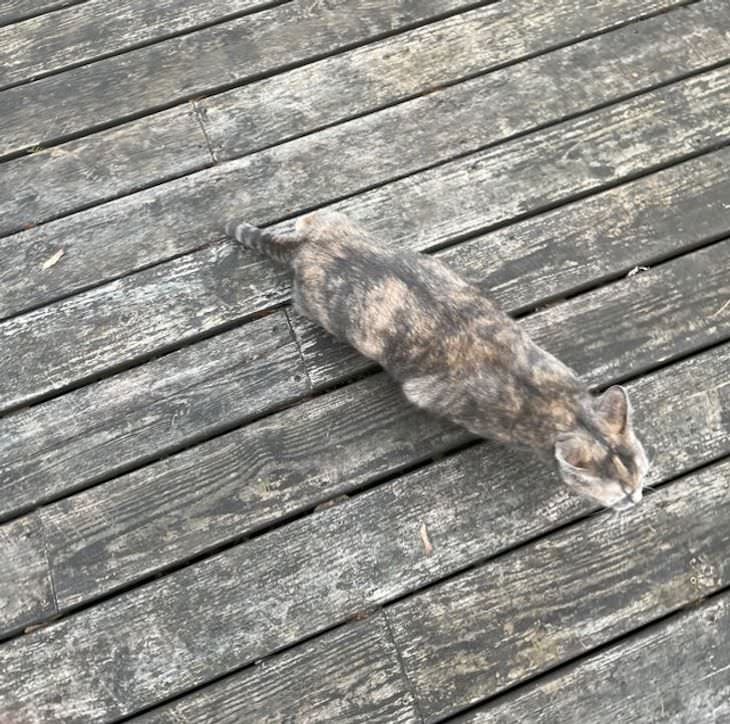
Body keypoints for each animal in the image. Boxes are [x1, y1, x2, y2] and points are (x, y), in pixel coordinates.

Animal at [226, 211, 648, 510]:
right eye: (623, 495)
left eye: (643, 475)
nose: (639, 498)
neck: (563, 409)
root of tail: (306, 244)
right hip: (317, 307)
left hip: (331, 219)